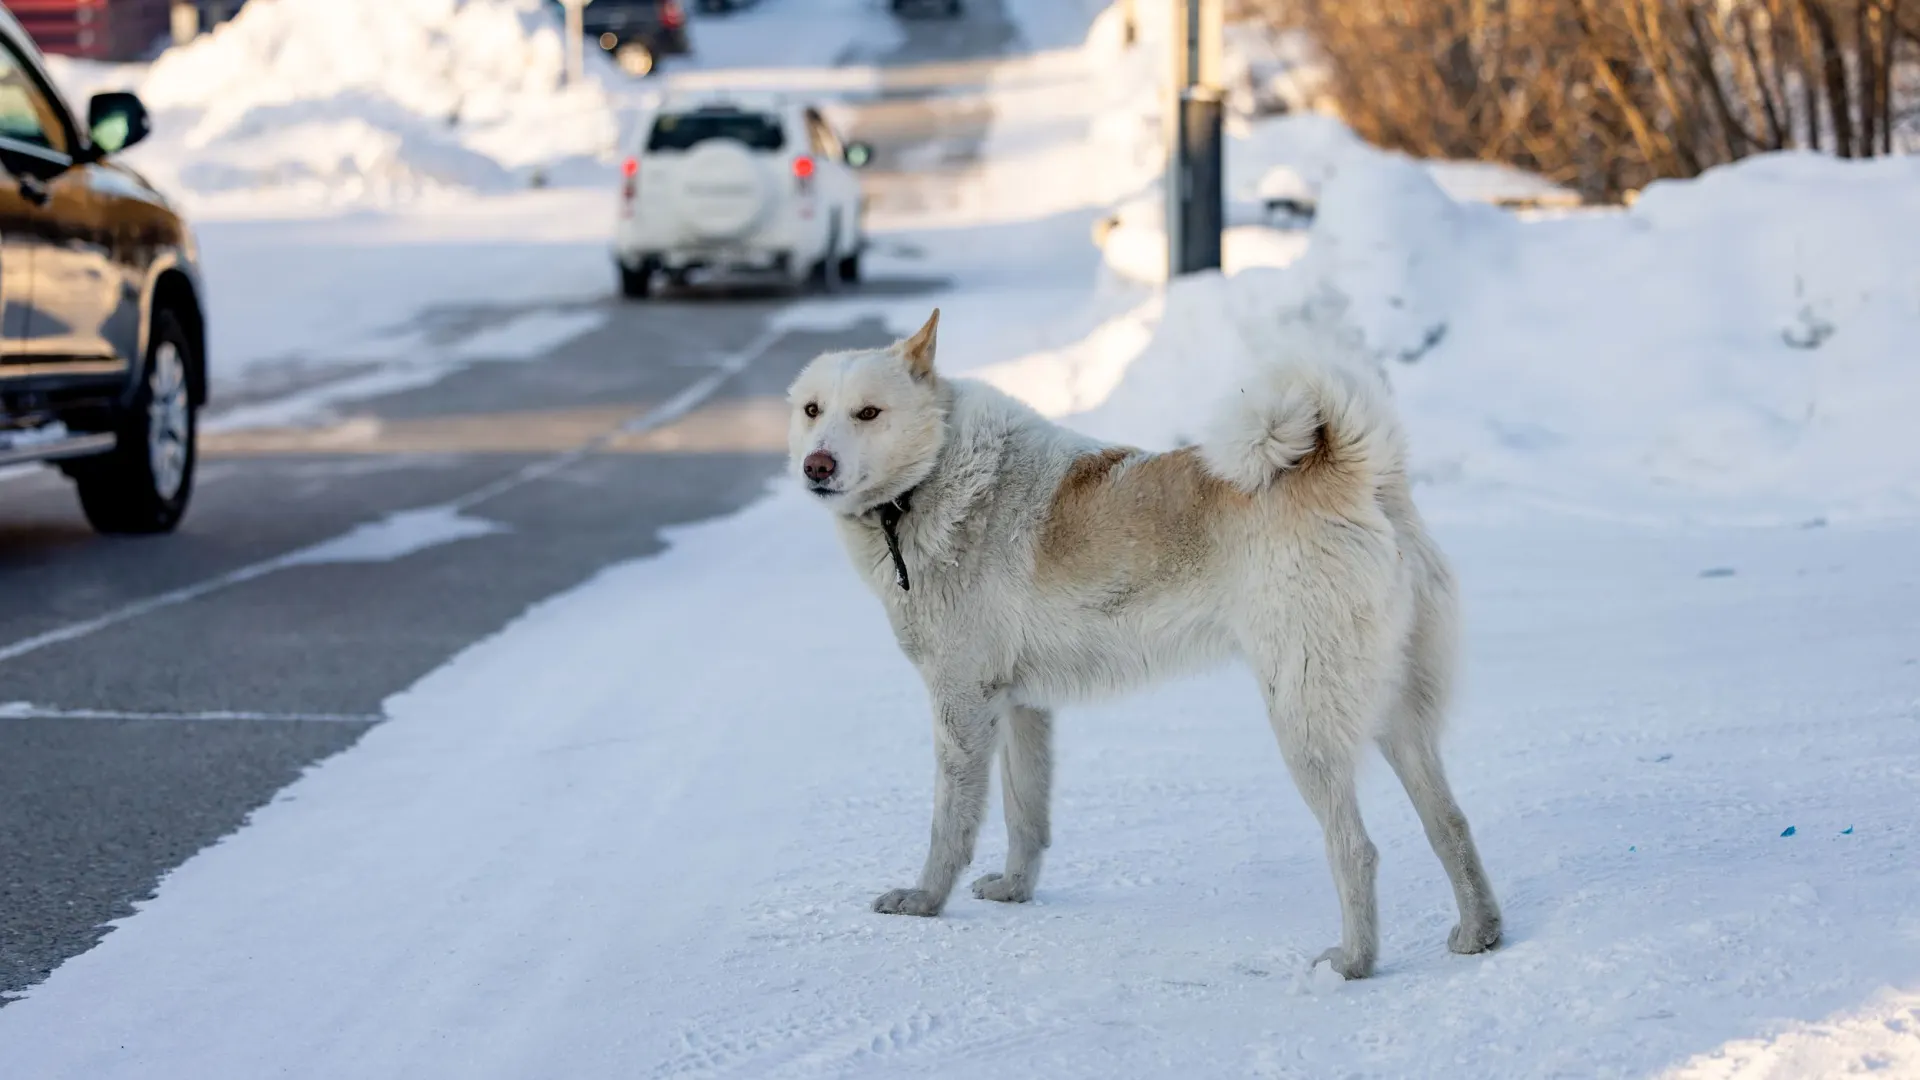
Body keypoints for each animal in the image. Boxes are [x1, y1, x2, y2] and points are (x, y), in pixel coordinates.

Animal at [787, 307, 1505, 972]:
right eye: (812, 410)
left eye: (869, 413)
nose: (815, 465)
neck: (931, 477)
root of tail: (1351, 467)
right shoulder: (1020, 707)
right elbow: (1026, 816)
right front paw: (1017, 890)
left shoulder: (962, 705)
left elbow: (950, 824)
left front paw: (925, 901)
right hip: (1397, 719)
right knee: (1451, 823)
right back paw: (1480, 932)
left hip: (1305, 722)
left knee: (1357, 847)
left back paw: (1354, 962)